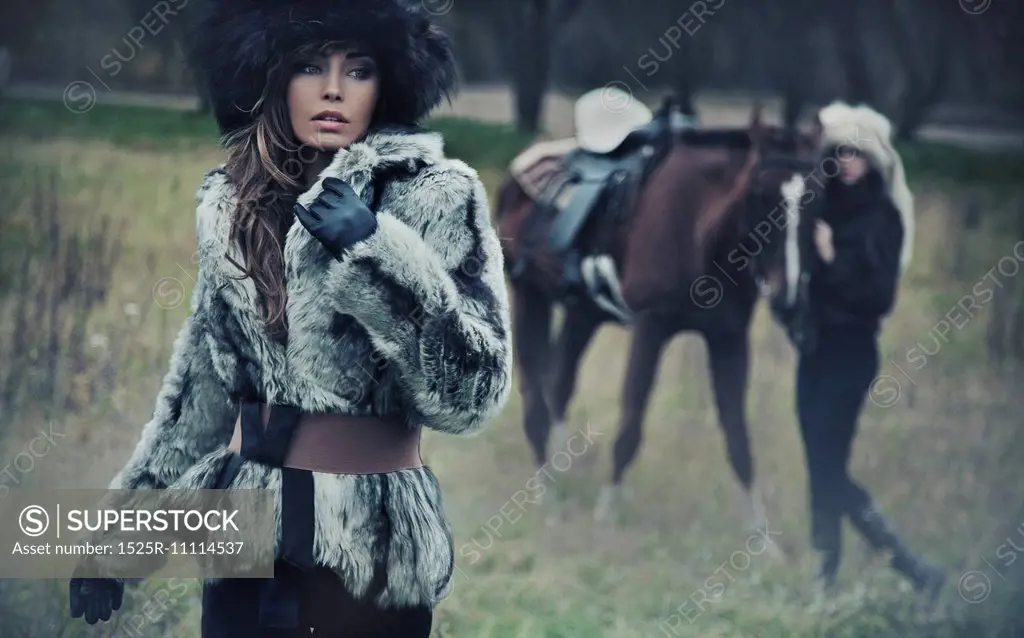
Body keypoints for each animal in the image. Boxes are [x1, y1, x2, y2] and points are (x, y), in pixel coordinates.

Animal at [493, 103, 823, 532]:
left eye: (817, 198)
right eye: (760, 195)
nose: (790, 296)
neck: (700, 229)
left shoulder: (729, 337)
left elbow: (738, 436)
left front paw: (762, 536)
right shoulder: (650, 327)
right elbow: (631, 422)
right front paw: (607, 511)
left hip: (583, 313)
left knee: (558, 385)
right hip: (529, 296)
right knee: (536, 394)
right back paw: (546, 492)